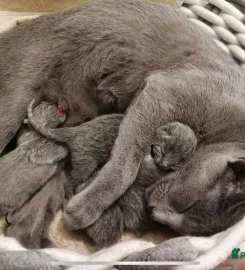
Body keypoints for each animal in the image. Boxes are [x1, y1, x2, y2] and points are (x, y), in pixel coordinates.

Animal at [0, 0, 244, 236]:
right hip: (19, 92)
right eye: (189, 205)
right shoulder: (164, 92)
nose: (153, 212)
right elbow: (125, 168)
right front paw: (84, 210)